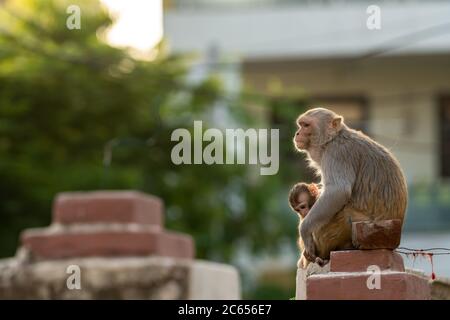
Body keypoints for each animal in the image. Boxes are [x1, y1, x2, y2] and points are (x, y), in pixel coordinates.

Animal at [296, 107, 408, 262]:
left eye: (306, 125)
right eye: (300, 125)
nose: (297, 133)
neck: (331, 140)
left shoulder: (336, 153)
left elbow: (338, 191)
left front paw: (304, 229)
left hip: (365, 227)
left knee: (343, 215)